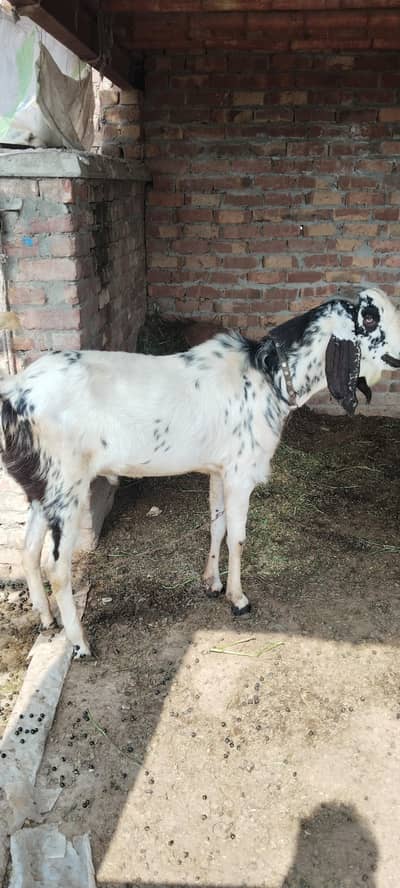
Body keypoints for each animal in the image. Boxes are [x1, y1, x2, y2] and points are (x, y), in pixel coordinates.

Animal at [1, 287, 400, 658]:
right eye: (369, 318)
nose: (399, 354)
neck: (267, 375)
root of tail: (16, 392)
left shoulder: (219, 470)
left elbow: (217, 526)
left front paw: (213, 583)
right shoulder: (240, 472)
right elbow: (238, 536)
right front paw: (238, 599)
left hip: (42, 487)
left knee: (28, 549)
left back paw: (47, 619)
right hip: (66, 486)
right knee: (56, 566)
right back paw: (79, 642)